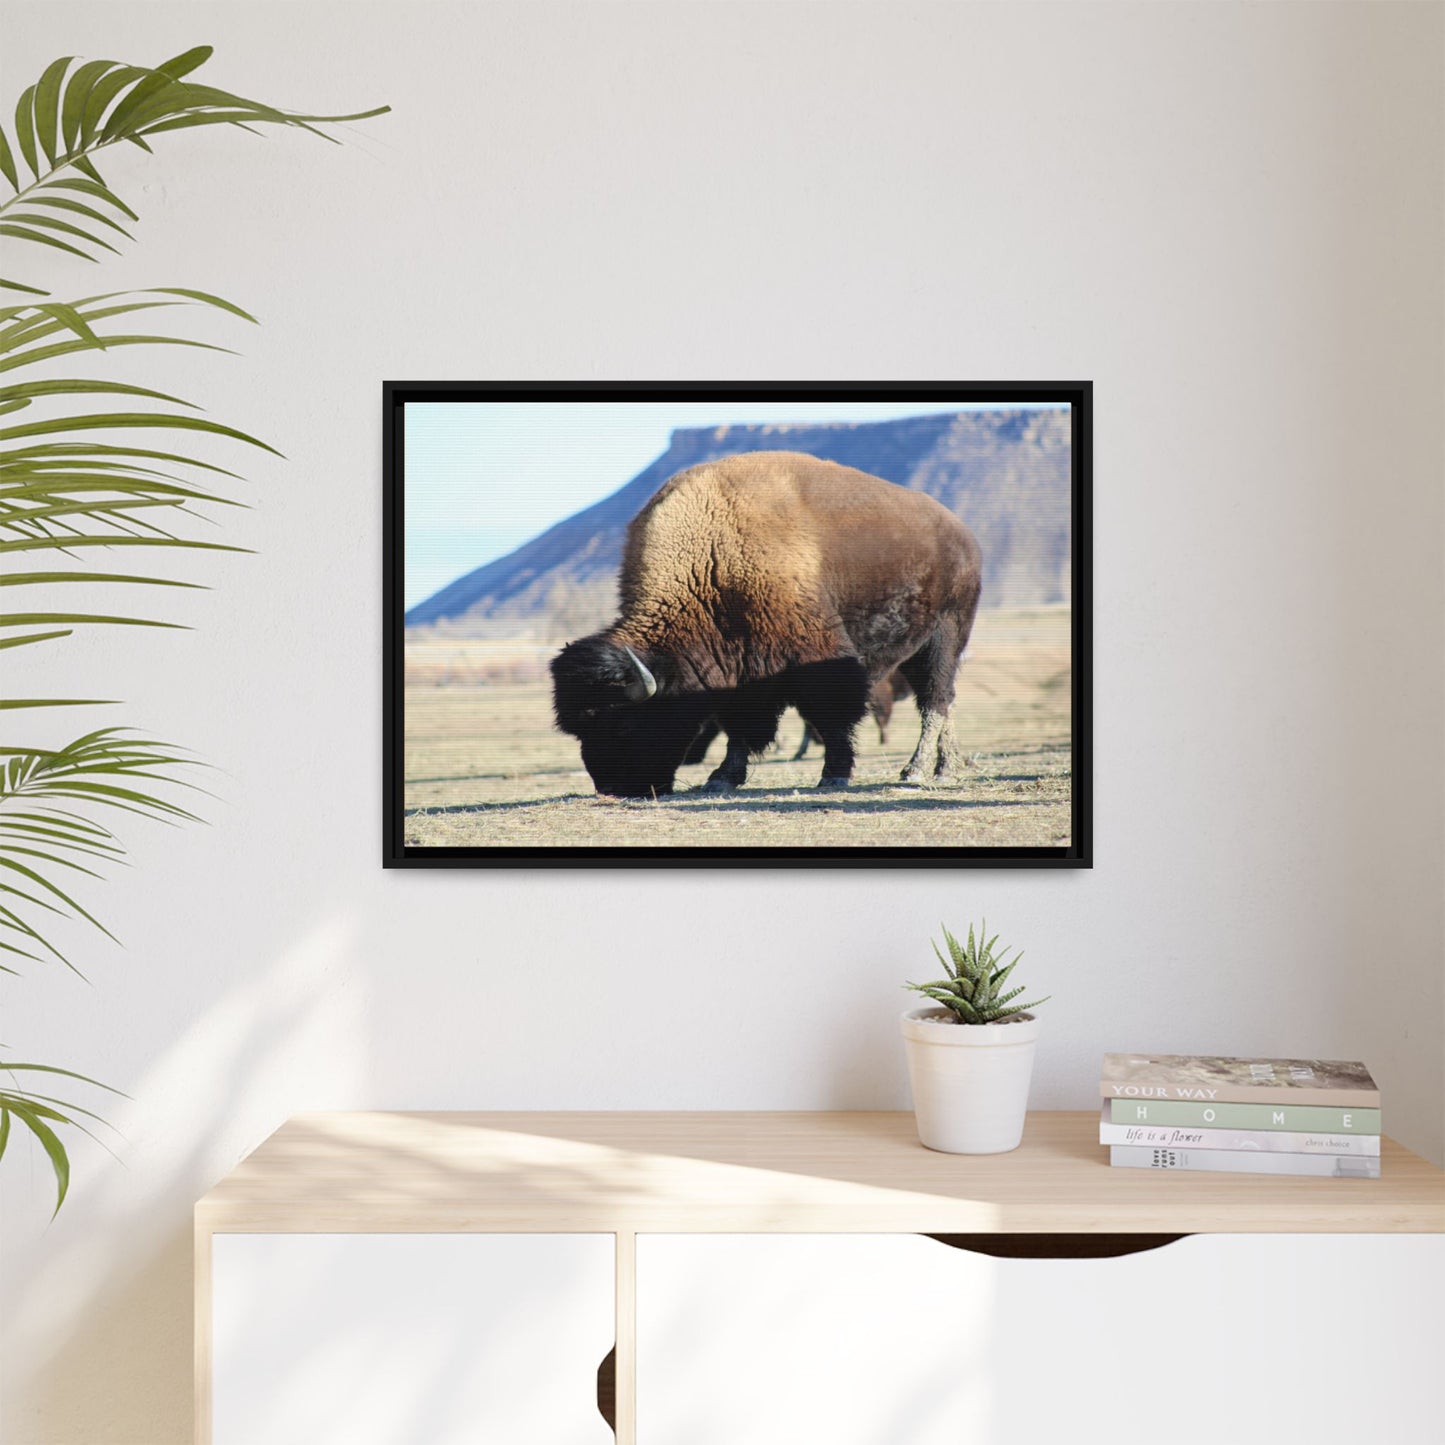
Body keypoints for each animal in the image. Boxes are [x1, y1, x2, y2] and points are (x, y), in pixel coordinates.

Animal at [550, 450, 982, 798]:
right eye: (579, 730)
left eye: (622, 723)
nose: (612, 787)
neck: (711, 560)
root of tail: (962, 534)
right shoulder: (739, 671)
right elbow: (740, 727)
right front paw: (721, 778)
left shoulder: (818, 657)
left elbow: (832, 716)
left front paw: (834, 775)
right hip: (918, 647)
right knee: (942, 701)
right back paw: (946, 766)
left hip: (945, 636)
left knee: (935, 699)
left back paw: (920, 771)